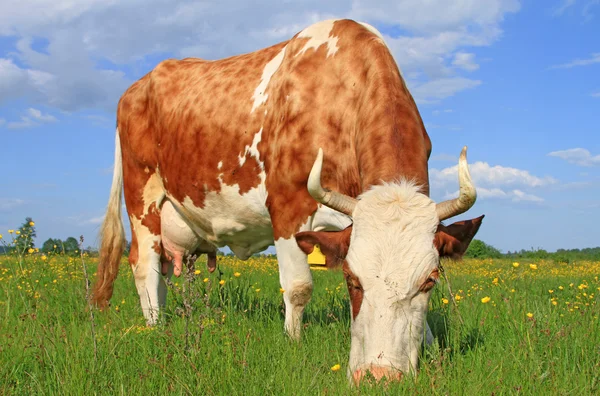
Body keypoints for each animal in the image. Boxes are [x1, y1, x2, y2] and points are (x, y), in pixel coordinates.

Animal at [92, 18, 482, 384]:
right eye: (351, 279)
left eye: (430, 280)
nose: (379, 375)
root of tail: (138, 85)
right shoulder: (287, 206)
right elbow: (298, 288)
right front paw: (293, 343)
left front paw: (429, 352)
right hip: (142, 194)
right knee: (144, 265)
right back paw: (155, 326)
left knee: (163, 269)